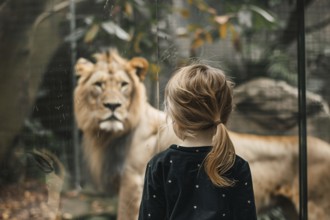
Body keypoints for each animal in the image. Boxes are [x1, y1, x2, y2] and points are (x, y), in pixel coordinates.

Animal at [74, 49, 330, 219]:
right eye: (98, 84)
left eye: (123, 84)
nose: (113, 106)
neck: (111, 137)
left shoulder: (134, 182)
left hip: (317, 205)